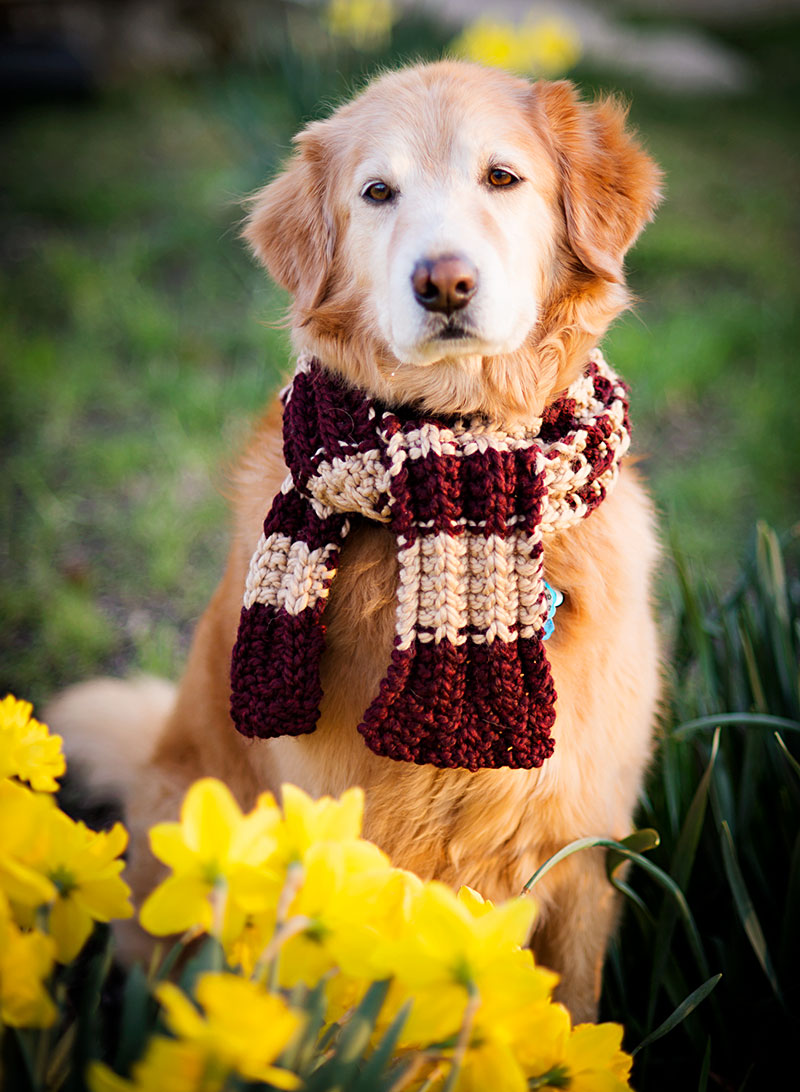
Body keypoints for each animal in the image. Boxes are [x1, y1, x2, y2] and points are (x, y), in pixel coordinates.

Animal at [46, 61, 663, 1022]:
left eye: (503, 177)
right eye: (378, 193)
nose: (443, 282)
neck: (457, 441)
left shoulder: (582, 850)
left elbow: (572, 1010)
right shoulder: (340, 855)